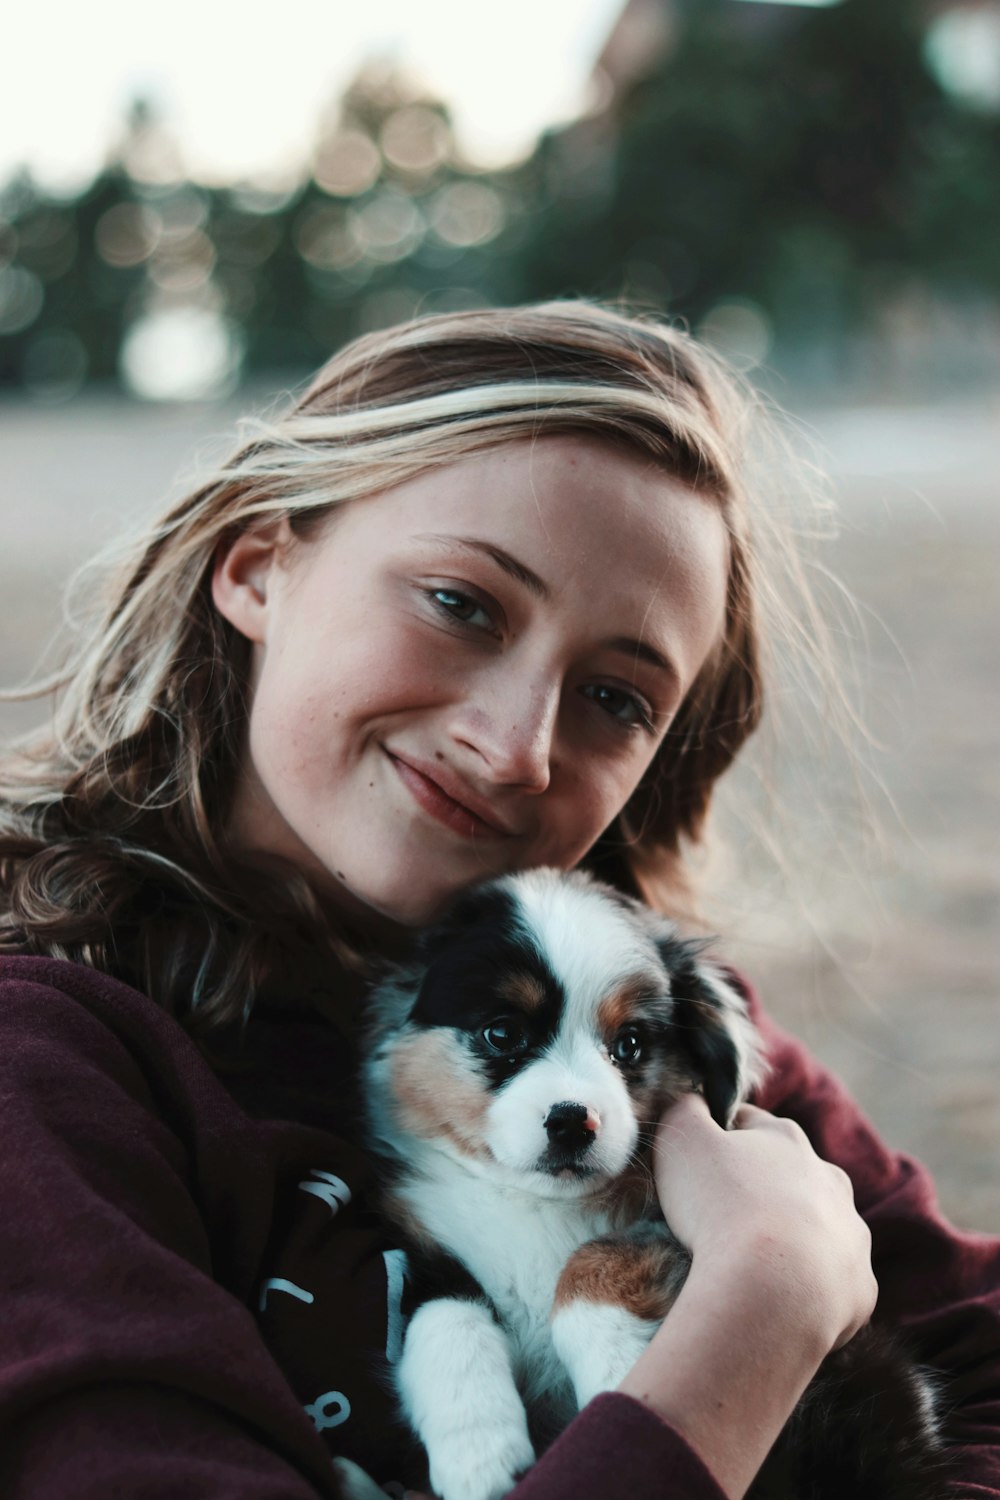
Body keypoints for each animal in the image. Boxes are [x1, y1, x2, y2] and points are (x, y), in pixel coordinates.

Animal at [361, 870, 947, 1500]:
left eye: (631, 1044)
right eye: (501, 1034)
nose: (573, 1122)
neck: (537, 1208)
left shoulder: (661, 1229)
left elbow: (592, 1263)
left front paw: (619, 1378)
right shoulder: (427, 1248)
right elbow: (444, 1319)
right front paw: (478, 1453)